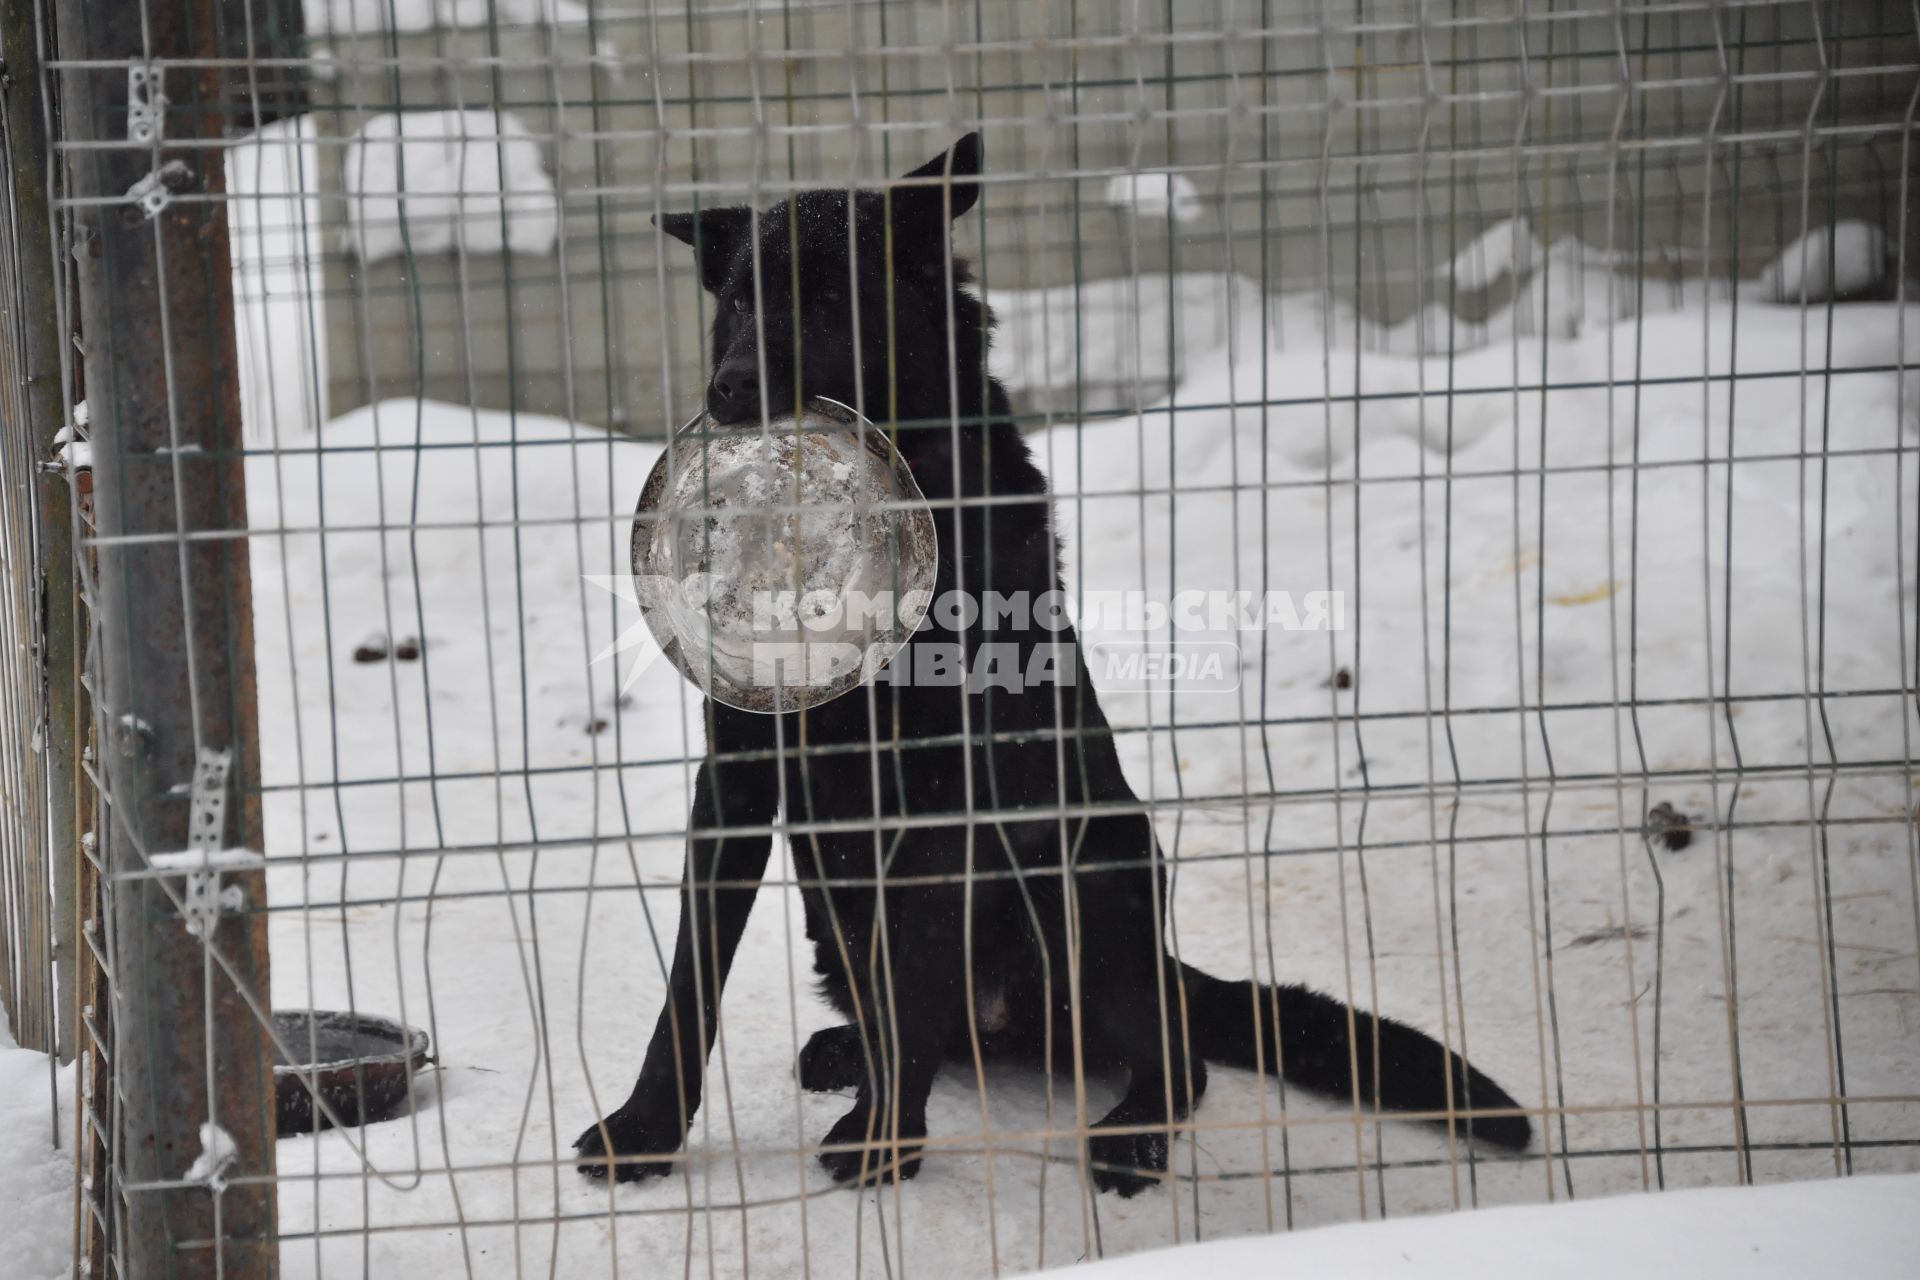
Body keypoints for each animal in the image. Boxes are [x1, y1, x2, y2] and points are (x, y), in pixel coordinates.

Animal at [572, 135, 1528, 1197]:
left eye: (828, 301)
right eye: (738, 301)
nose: (729, 391)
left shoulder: (942, 793)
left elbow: (910, 973)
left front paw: (886, 1141)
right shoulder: (735, 779)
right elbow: (688, 985)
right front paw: (645, 1129)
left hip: (1097, 872)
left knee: (1172, 1053)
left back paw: (1132, 1134)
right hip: (833, 906)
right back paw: (852, 1053)